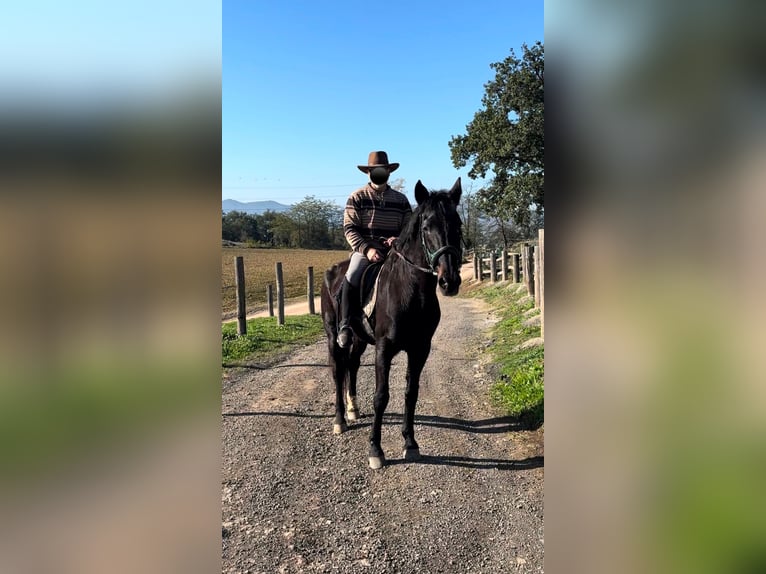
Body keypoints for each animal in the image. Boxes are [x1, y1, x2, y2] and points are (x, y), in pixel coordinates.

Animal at [320, 178, 464, 470]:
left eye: (458, 225)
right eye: (426, 227)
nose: (449, 281)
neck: (410, 291)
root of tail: (332, 272)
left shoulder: (420, 349)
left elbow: (411, 393)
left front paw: (410, 443)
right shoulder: (384, 348)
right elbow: (381, 396)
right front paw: (376, 450)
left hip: (360, 339)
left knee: (352, 365)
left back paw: (353, 409)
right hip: (333, 336)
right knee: (338, 371)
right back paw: (340, 420)